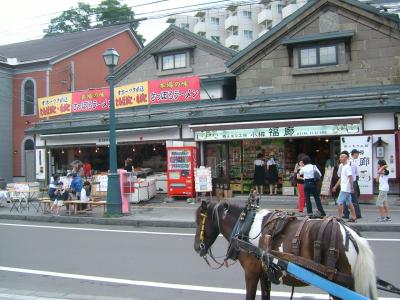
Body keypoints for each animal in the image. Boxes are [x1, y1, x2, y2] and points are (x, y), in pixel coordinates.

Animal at [194, 200, 378, 298]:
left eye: (199, 221)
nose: (197, 247)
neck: (244, 226)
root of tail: (352, 236)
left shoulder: (251, 273)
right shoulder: (264, 274)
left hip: (338, 285)